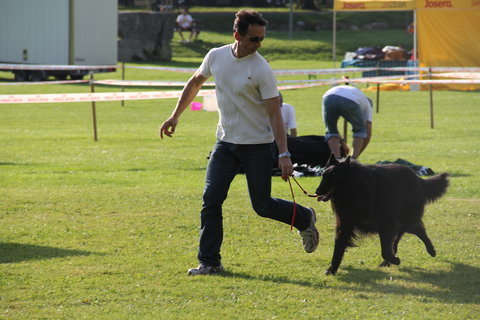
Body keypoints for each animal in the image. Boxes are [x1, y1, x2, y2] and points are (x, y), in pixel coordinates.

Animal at [316, 156, 448, 274]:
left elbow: (385, 250)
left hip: (406, 220)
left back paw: (430, 250)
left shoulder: (387, 224)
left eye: (333, 176)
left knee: (418, 230)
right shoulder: (345, 224)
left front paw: (394, 260)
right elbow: (338, 248)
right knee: (410, 232)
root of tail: (418, 178)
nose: (317, 192)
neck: (356, 187)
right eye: (323, 176)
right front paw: (332, 269)